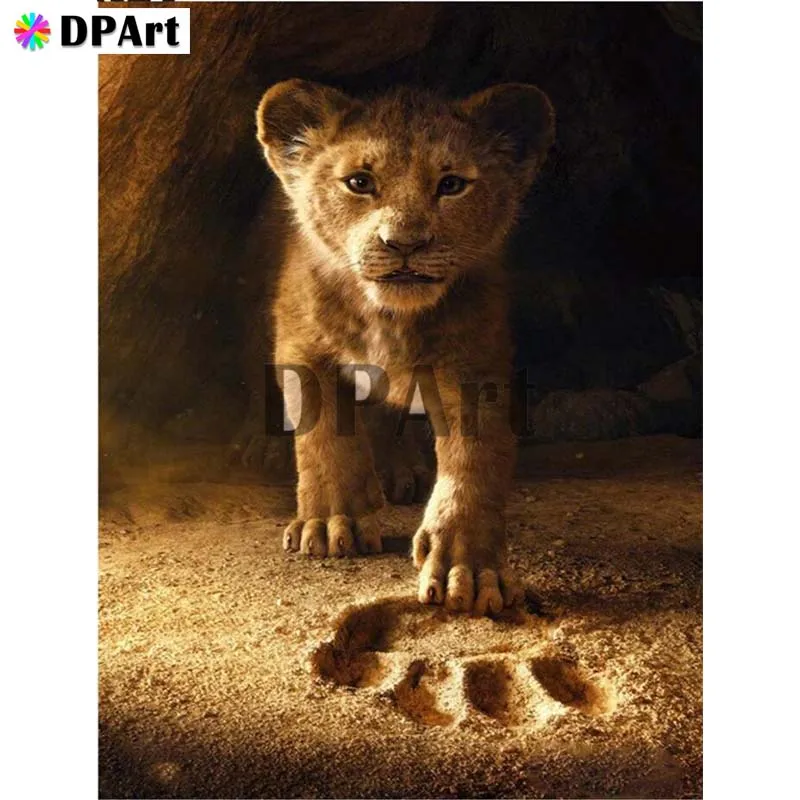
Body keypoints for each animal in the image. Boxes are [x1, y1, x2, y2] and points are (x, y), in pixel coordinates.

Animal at [255, 79, 555, 616]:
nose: (405, 243)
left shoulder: (475, 363)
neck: (389, 316)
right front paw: (331, 523)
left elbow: (474, 461)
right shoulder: (301, 344)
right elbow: (323, 434)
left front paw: (468, 568)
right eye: (359, 182)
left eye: (452, 184)